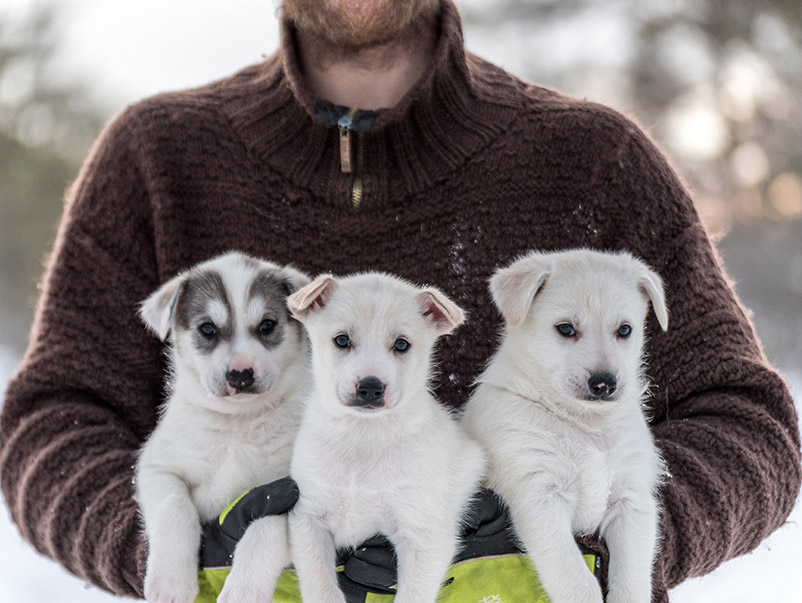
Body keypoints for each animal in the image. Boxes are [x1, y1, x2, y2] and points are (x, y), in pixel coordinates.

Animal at [134, 250, 310, 603]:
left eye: (267, 325)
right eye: (208, 329)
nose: (240, 374)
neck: (237, 424)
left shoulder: (291, 490)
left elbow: (263, 529)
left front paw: (244, 589)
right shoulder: (158, 467)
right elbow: (174, 510)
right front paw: (171, 582)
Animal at [282, 274, 482, 603]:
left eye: (401, 345)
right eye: (342, 340)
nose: (371, 387)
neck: (363, 435)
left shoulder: (424, 534)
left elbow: (412, 594)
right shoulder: (307, 517)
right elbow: (320, 584)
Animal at [460, 249, 664, 603]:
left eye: (625, 330)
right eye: (566, 329)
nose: (604, 383)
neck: (585, 423)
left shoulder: (632, 501)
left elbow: (631, 579)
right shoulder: (539, 495)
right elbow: (575, 580)